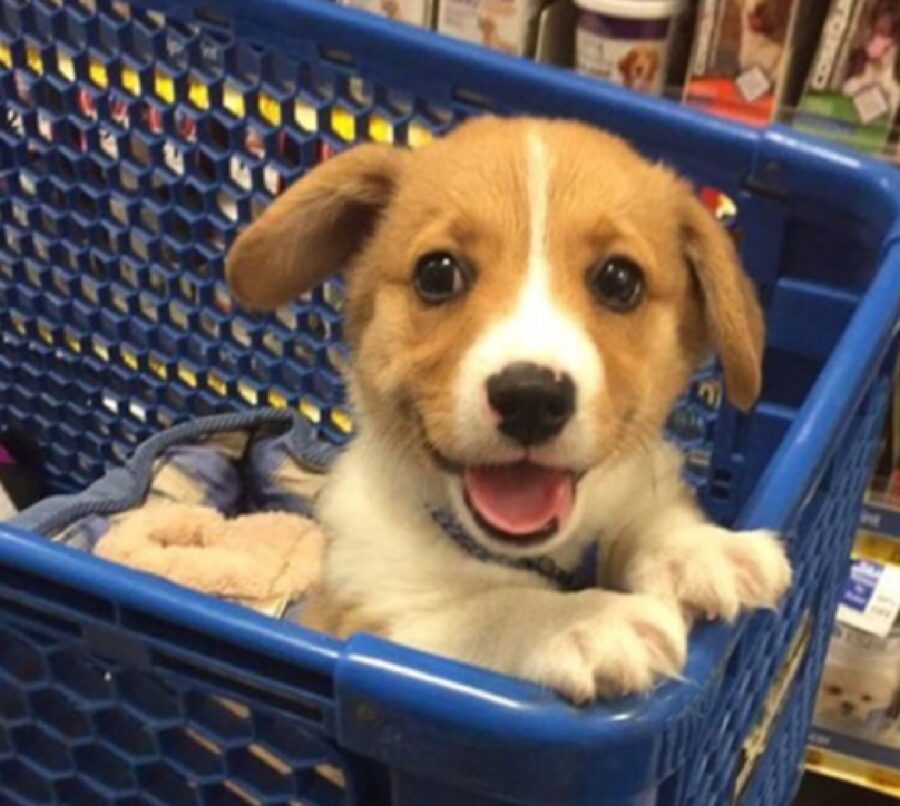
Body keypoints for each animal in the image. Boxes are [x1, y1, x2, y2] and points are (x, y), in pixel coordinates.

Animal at [229, 117, 792, 704]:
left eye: (619, 280)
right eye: (437, 273)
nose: (531, 399)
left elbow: (644, 518)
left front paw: (699, 549)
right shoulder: (391, 621)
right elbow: (492, 611)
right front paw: (587, 621)